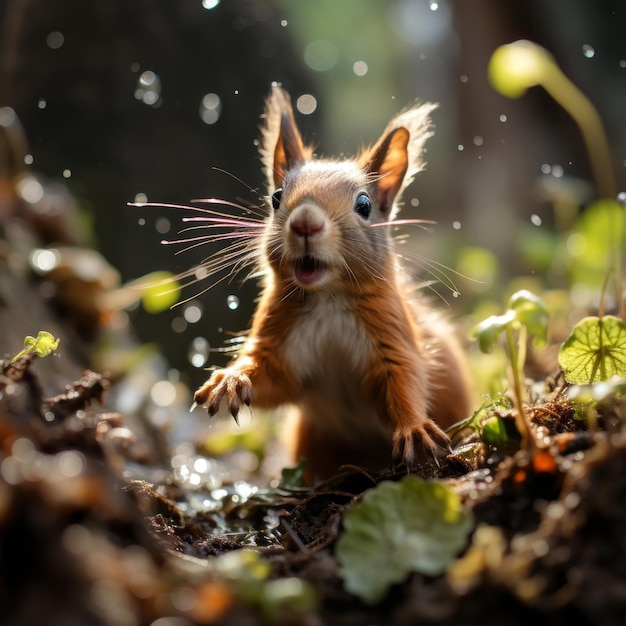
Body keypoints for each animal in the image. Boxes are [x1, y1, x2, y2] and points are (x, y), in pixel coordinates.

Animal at [193, 85, 470, 482]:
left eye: (365, 205)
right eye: (276, 197)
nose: (305, 222)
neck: (329, 297)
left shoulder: (394, 336)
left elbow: (405, 379)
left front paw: (415, 428)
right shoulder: (280, 345)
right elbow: (269, 378)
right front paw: (231, 379)